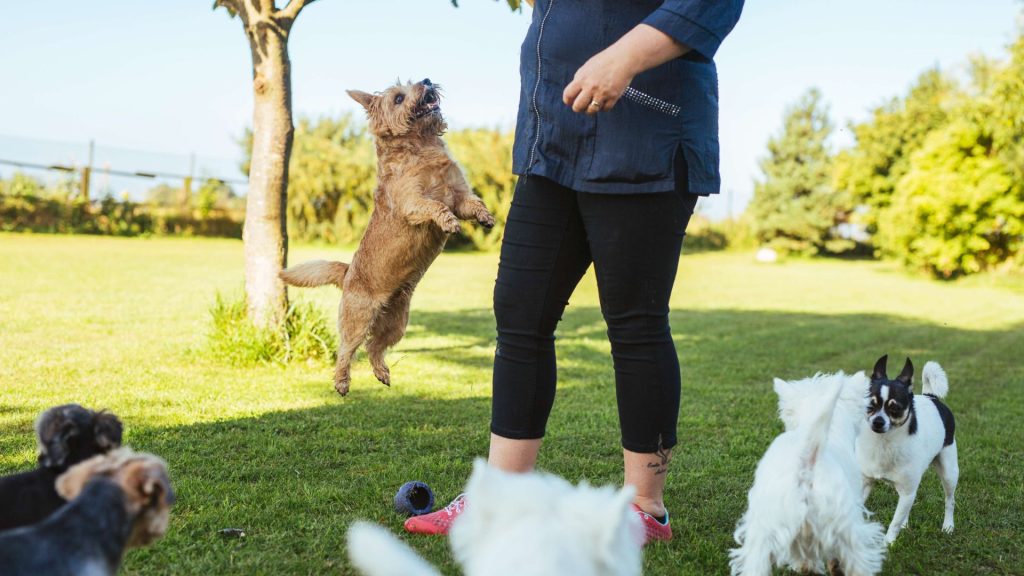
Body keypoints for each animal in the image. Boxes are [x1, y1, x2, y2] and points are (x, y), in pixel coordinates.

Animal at [856, 354, 958, 541]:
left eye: (895, 408)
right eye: (870, 406)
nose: (878, 421)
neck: (883, 442)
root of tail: (931, 396)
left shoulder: (908, 492)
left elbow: (894, 522)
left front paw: (888, 543)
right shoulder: (866, 484)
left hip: (949, 472)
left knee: (950, 500)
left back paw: (948, 526)